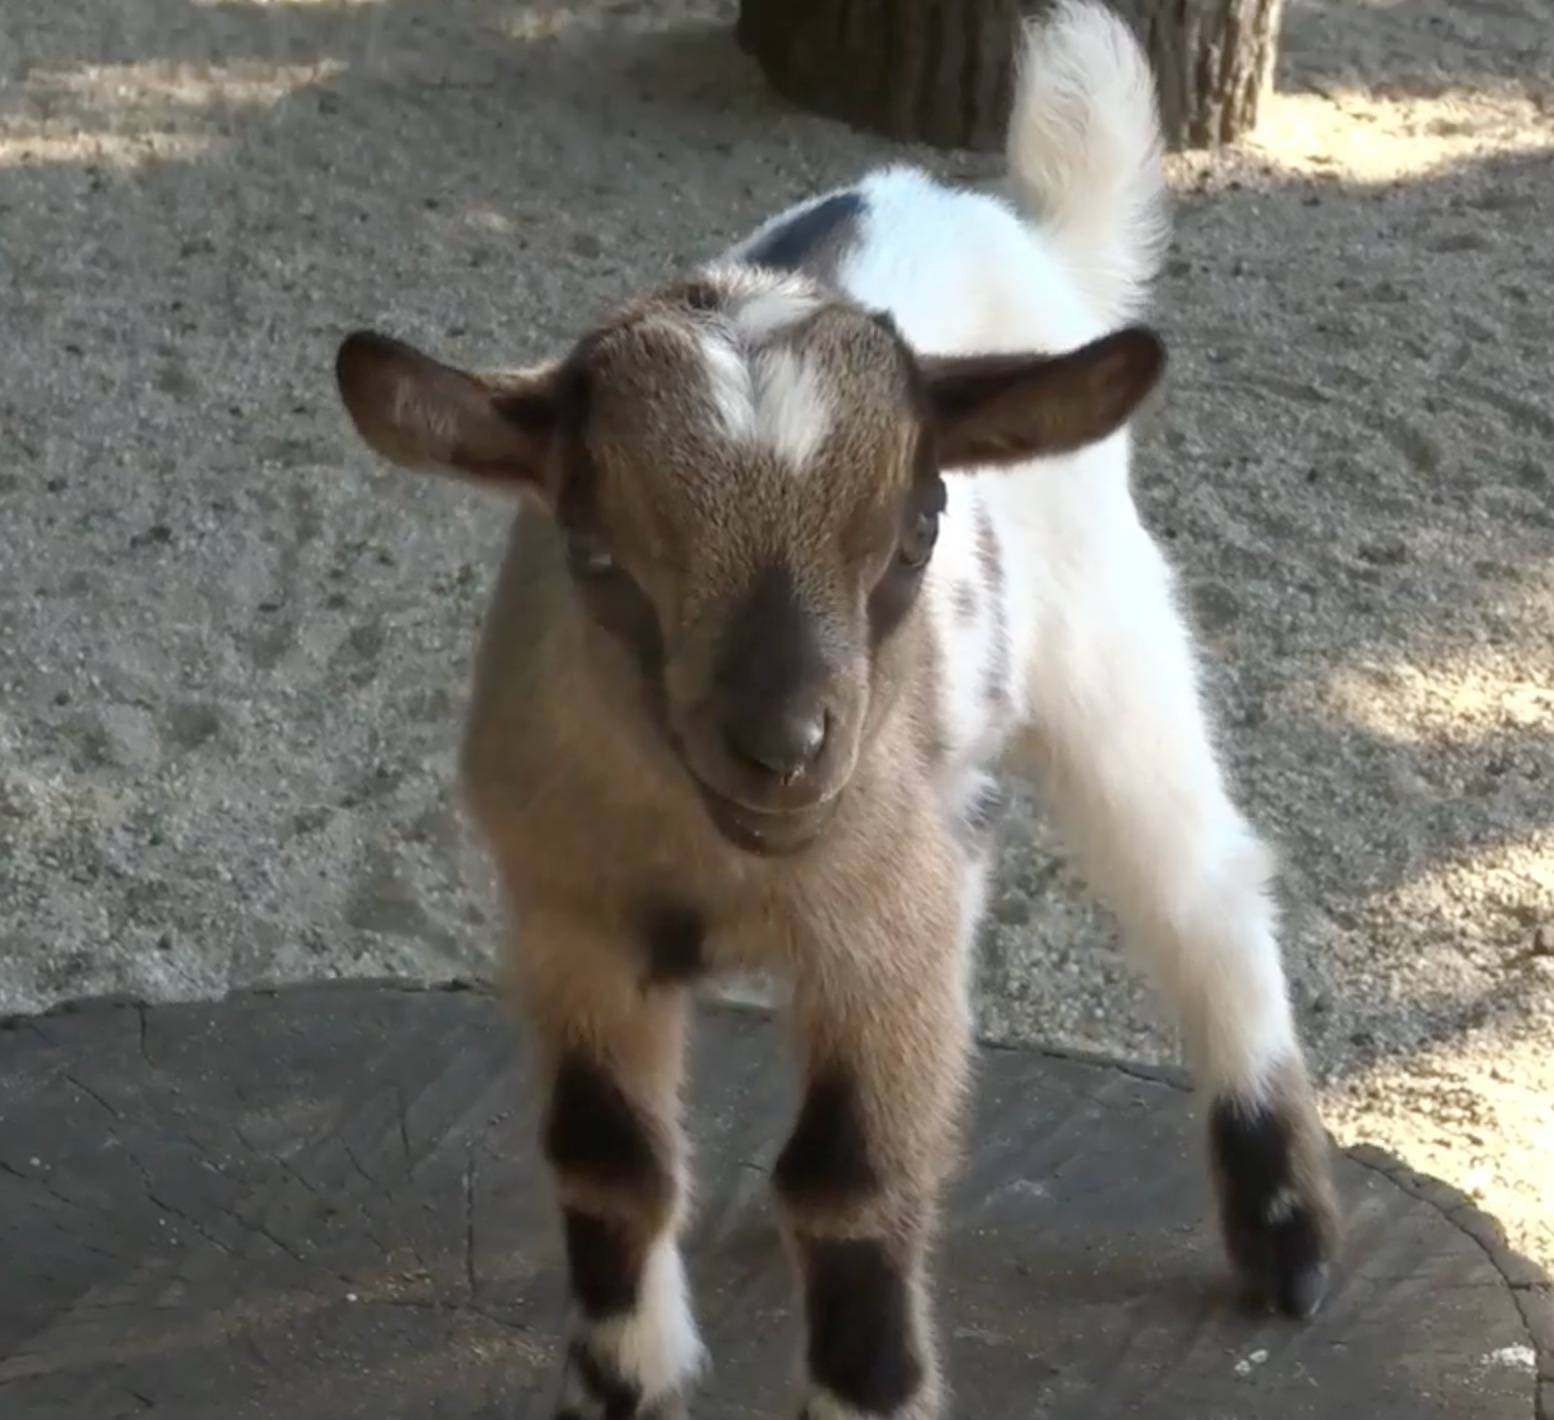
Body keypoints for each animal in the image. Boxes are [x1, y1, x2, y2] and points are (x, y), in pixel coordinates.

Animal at [334, 5, 1342, 1410]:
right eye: (594, 551)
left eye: (918, 527)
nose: (786, 744)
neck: (715, 861)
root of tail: (1022, 234)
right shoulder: (567, 913)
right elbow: (608, 1158)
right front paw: (626, 1378)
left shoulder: (888, 909)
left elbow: (851, 1181)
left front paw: (865, 1373)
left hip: (1111, 638)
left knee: (1202, 889)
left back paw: (1286, 1239)